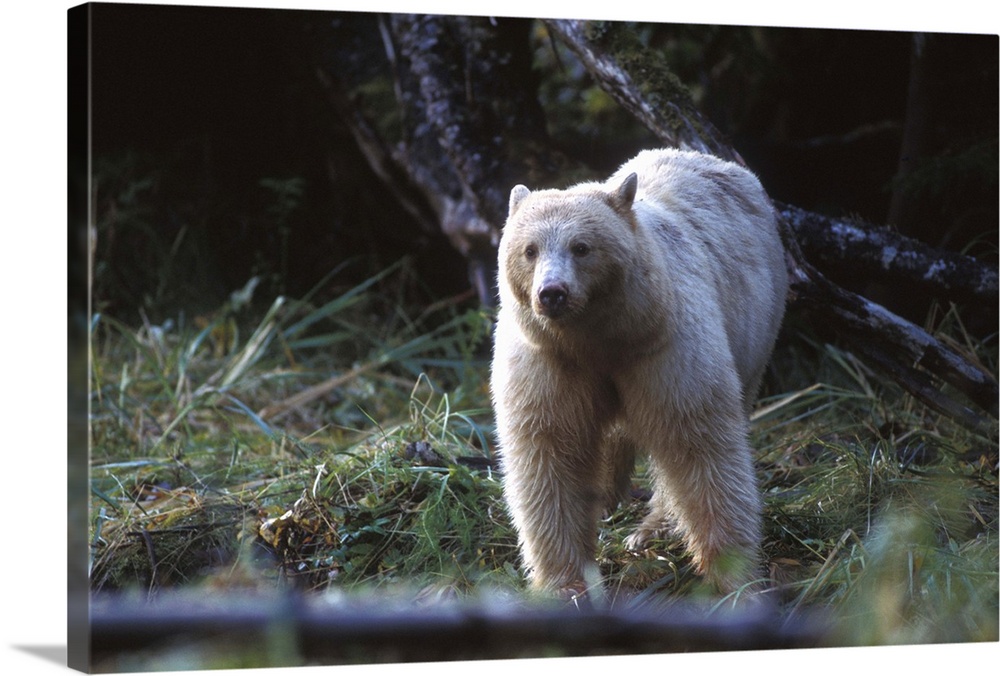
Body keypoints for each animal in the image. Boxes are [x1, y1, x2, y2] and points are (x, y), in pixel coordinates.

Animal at [492, 148, 788, 596]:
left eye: (582, 247)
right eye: (529, 249)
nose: (552, 293)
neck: (600, 337)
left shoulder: (665, 347)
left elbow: (697, 443)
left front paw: (734, 576)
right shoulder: (549, 362)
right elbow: (549, 453)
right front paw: (566, 583)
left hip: (757, 326)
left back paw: (653, 526)